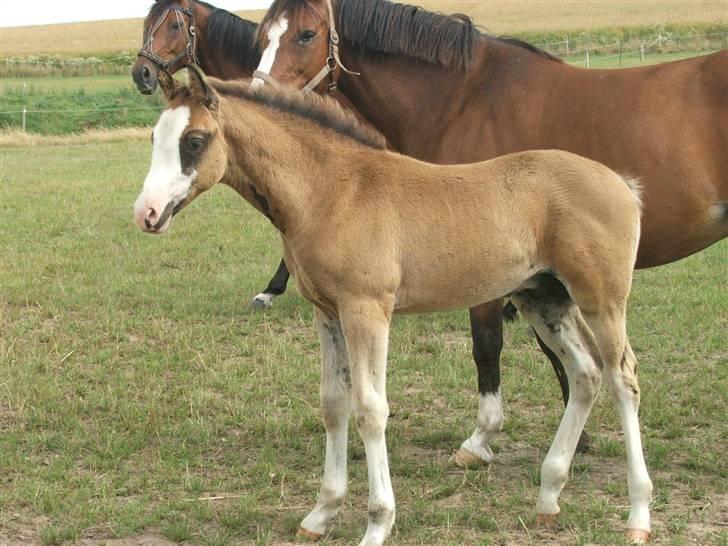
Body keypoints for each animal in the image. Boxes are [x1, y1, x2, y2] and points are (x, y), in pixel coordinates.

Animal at [134, 69, 652, 544]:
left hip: (601, 299)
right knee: (585, 374)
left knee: (621, 378)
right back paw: (548, 497)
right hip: (542, 298)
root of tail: (622, 183)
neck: (332, 191)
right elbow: (333, 404)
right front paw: (321, 513)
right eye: (155, 138)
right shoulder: (328, 312)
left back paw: (638, 515)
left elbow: (370, 408)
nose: (146, 213)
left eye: (195, 141)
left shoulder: (367, 309)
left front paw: (377, 524)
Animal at [255, 0, 728, 468]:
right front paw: (577, 432)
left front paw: (482, 439)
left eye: (306, 34)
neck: (461, 99)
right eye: (262, 37)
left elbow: (487, 346)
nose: (261, 97)